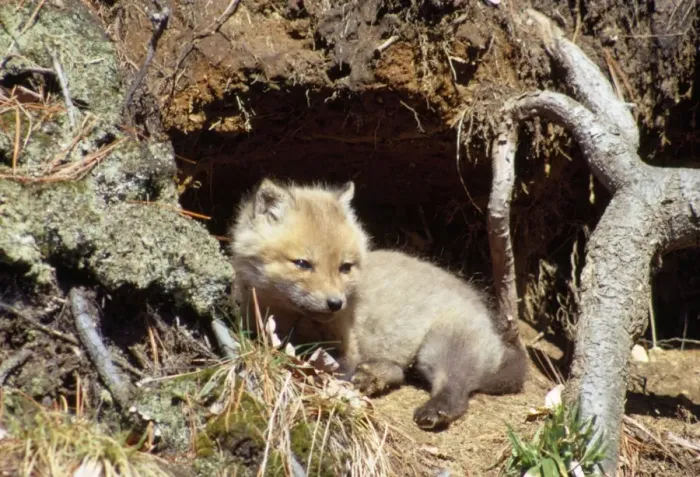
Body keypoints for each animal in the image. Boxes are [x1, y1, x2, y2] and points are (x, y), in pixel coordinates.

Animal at [230, 178, 527, 429]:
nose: (335, 303)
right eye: (302, 264)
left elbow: (335, 368)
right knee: (401, 373)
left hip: (439, 349)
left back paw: (434, 408)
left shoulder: (346, 352)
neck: (292, 320)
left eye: (345, 267)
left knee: (457, 392)